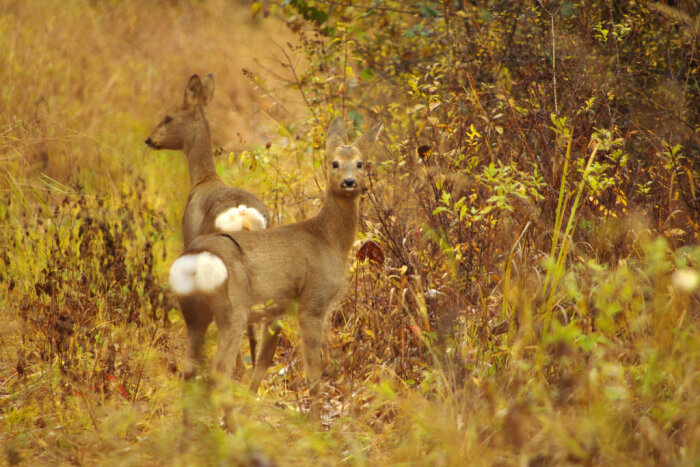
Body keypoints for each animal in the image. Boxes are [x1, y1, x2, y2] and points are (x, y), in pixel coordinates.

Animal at [169, 117, 382, 420]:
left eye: (360, 163)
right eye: (335, 163)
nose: (349, 182)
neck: (328, 240)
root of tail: (195, 259)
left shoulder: (278, 309)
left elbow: (264, 362)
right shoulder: (312, 303)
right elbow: (314, 375)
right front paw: (314, 422)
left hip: (194, 312)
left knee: (188, 372)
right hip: (232, 308)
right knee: (218, 372)